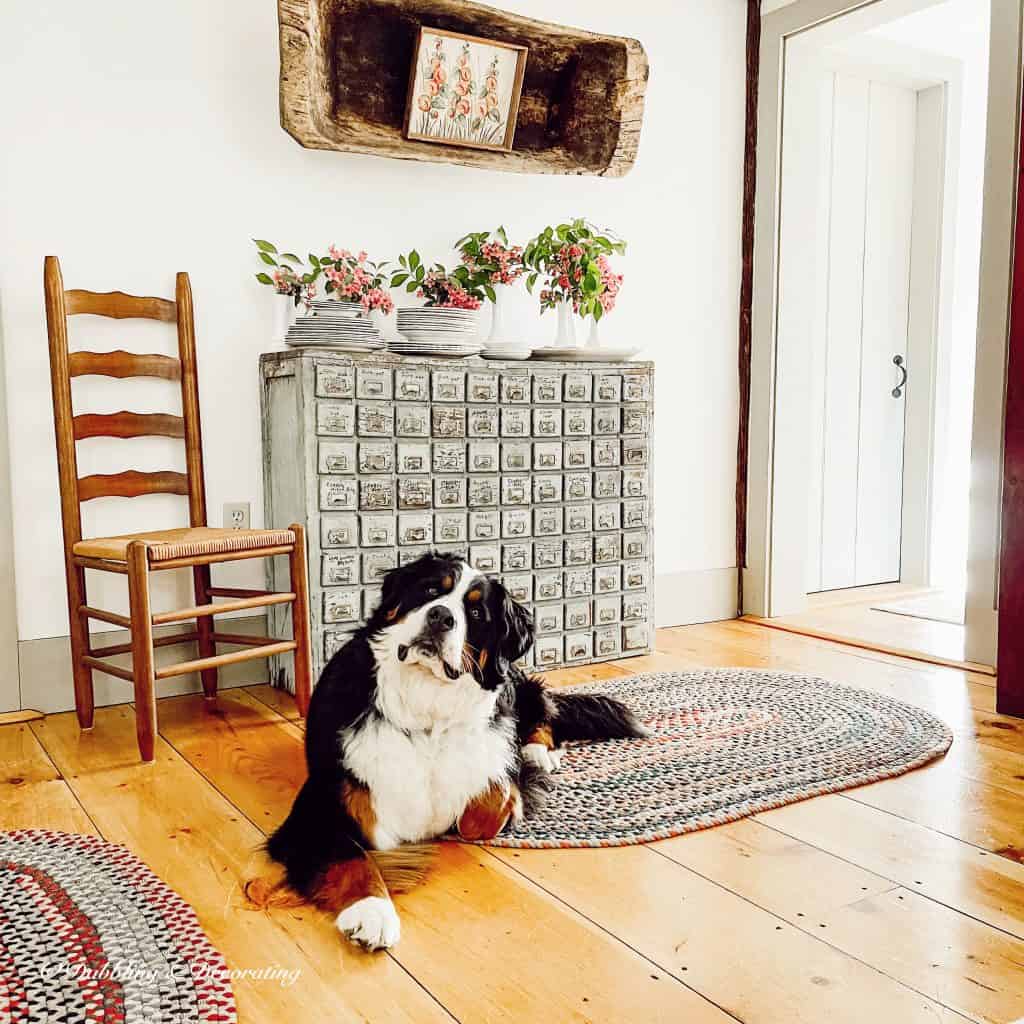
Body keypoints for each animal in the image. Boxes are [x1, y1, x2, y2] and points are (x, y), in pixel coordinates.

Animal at [268, 552, 643, 950]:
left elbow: (493, 798)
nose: (440, 616)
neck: (426, 706)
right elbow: (352, 858)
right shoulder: (319, 806)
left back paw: (539, 752)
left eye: (476, 613)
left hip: (516, 685)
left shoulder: (495, 753)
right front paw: (372, 912)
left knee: (542, 708)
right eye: (431, 590)